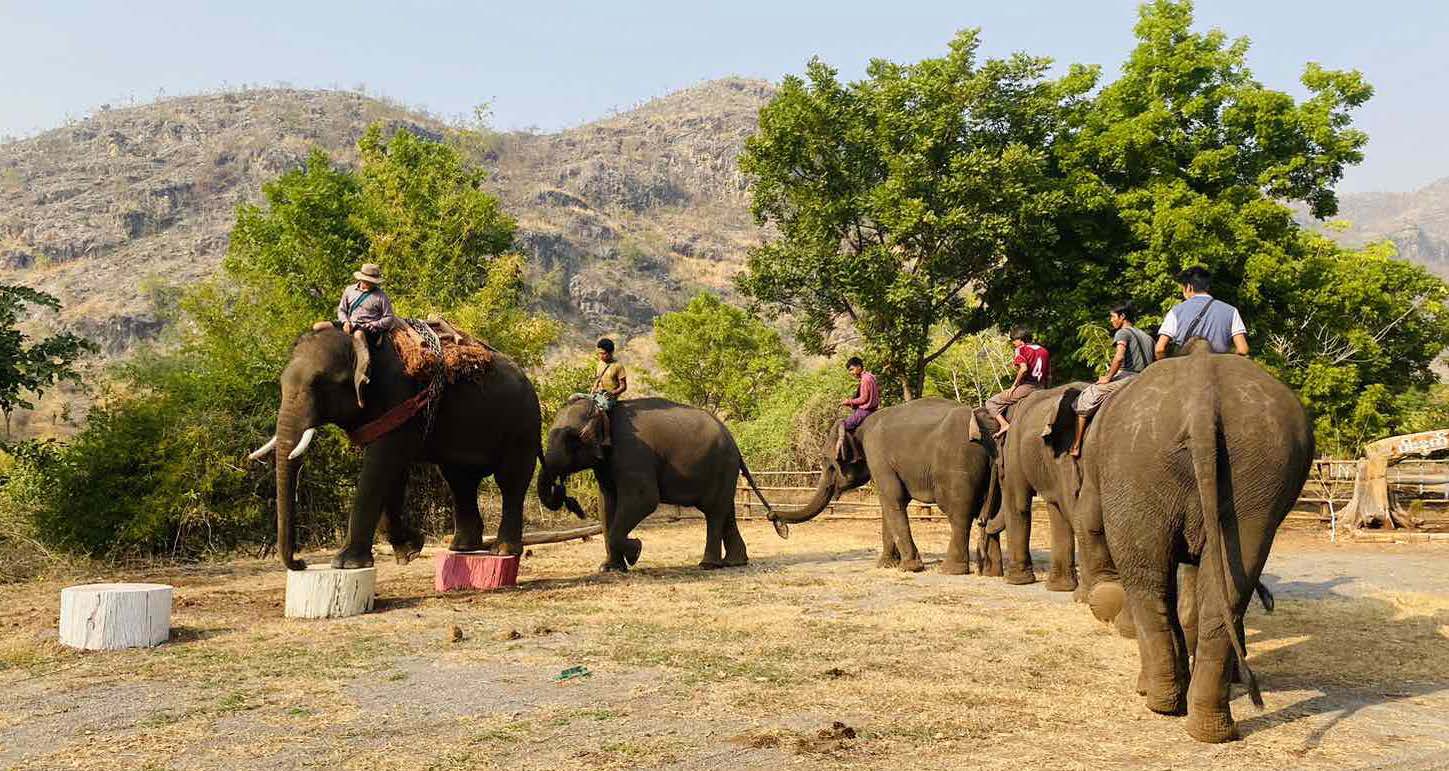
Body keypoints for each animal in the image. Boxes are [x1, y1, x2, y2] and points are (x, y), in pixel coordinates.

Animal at [249, 325, 542, 570]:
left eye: (320, 382)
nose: (300, 563)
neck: (361, 342)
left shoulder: (398, 397)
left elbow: (379, 466)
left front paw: (346, 564)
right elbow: (391, 472)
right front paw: (410, 549)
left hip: (523, 426)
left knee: (510, 481)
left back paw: (502, 551)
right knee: (459, 481)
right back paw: (462, 547)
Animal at [536, 396, 771, 572]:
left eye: (572, 439)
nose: (562, 491)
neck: (606, 412)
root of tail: (734, 442)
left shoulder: (634, 453)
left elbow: (644, 500)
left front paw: (635, 551)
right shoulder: (605, 464)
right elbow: (607, 503)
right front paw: (609, 568)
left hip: (721, 465)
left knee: (714, 512)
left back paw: (708, 565)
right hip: (723, 471)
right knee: (725, 511)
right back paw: (735, 562)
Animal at [766, 398, 998, 574]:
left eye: (829, 464)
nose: (772, 516)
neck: (859, 427)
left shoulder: (877, 455)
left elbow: (893, 500)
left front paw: (909, 567)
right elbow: (887, 505)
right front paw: (885, 565)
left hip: (958, 466)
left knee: (959, 513)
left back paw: (950, 570)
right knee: (990, 514)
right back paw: (989, 571)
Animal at [1072, 343, 1313, 743]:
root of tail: (1202, 393)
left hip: (1137, 467)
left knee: (1147, 579)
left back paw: (1160, 702)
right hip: (1259, 472)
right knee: (1226, 585)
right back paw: (1210, 728)